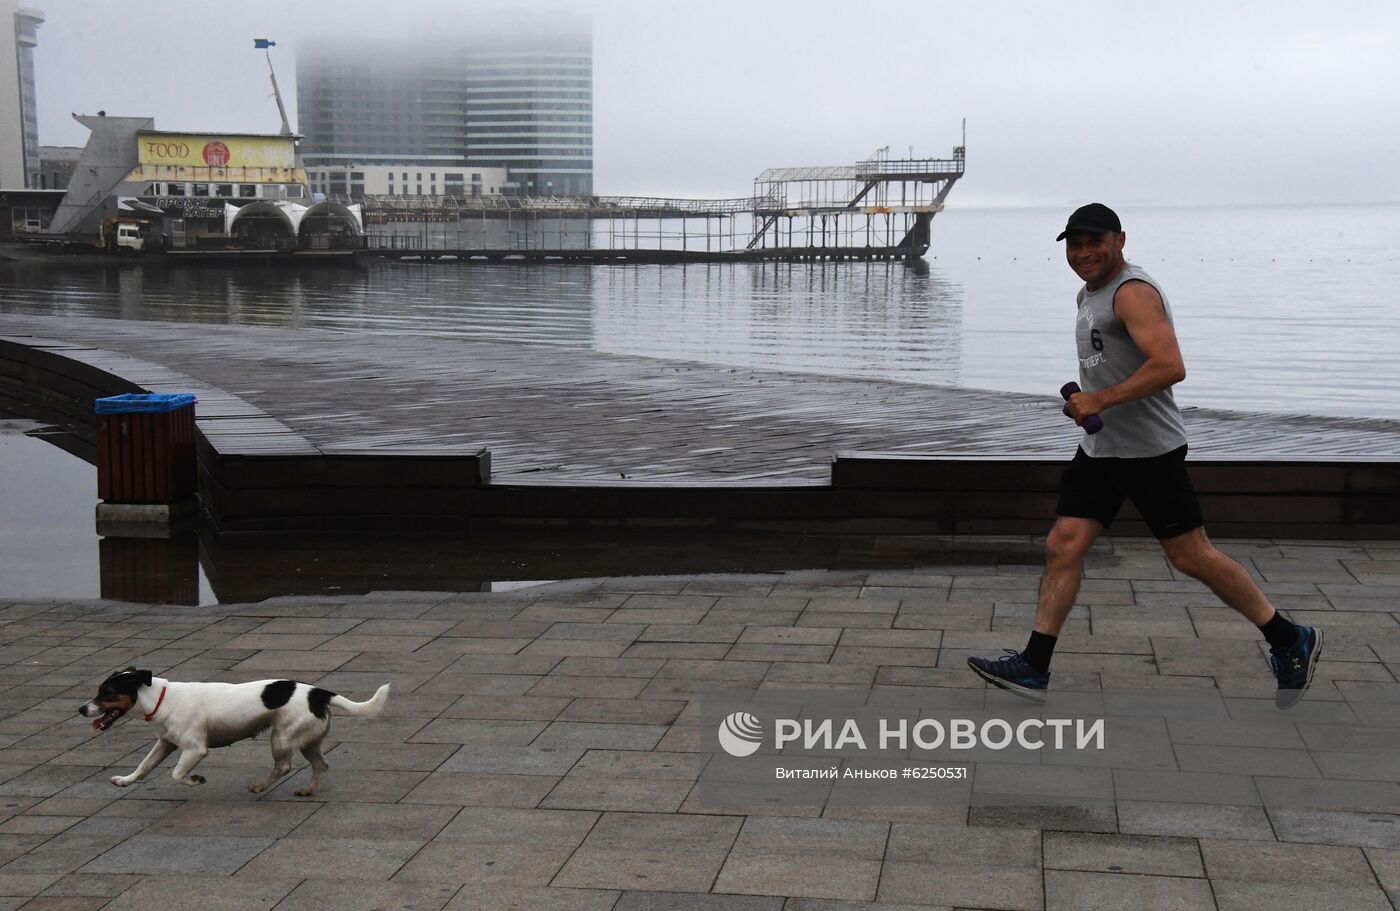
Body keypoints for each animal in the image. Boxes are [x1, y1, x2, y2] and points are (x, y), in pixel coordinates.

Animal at [81, 668, 389, 800]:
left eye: (106, 693)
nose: (82, 709)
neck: (160, 699)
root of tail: (319, 692)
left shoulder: (195, 749)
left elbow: (177, 774)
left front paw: (195, 780)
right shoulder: (165, 743)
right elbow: (144, 765)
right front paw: (125, 780)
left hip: (282, 737)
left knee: (284, 766)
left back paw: (260, 786)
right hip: (308, 740)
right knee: (321, 765)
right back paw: (307, 790)